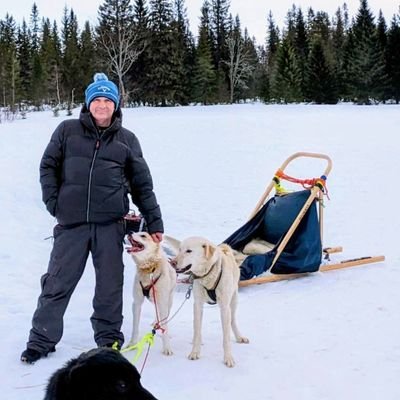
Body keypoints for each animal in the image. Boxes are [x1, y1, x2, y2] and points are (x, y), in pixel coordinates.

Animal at [176, 236, 250, 368]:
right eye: (179, 249)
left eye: (189, 251)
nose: (172, 262)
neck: (207, 275)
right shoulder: (197, 305)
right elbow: (197, 330)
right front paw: (195, 352)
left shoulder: (225, 308)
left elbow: (226, 338)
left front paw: (228, 358)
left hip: (233, 300)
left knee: (232, 321)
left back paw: (239, 336)